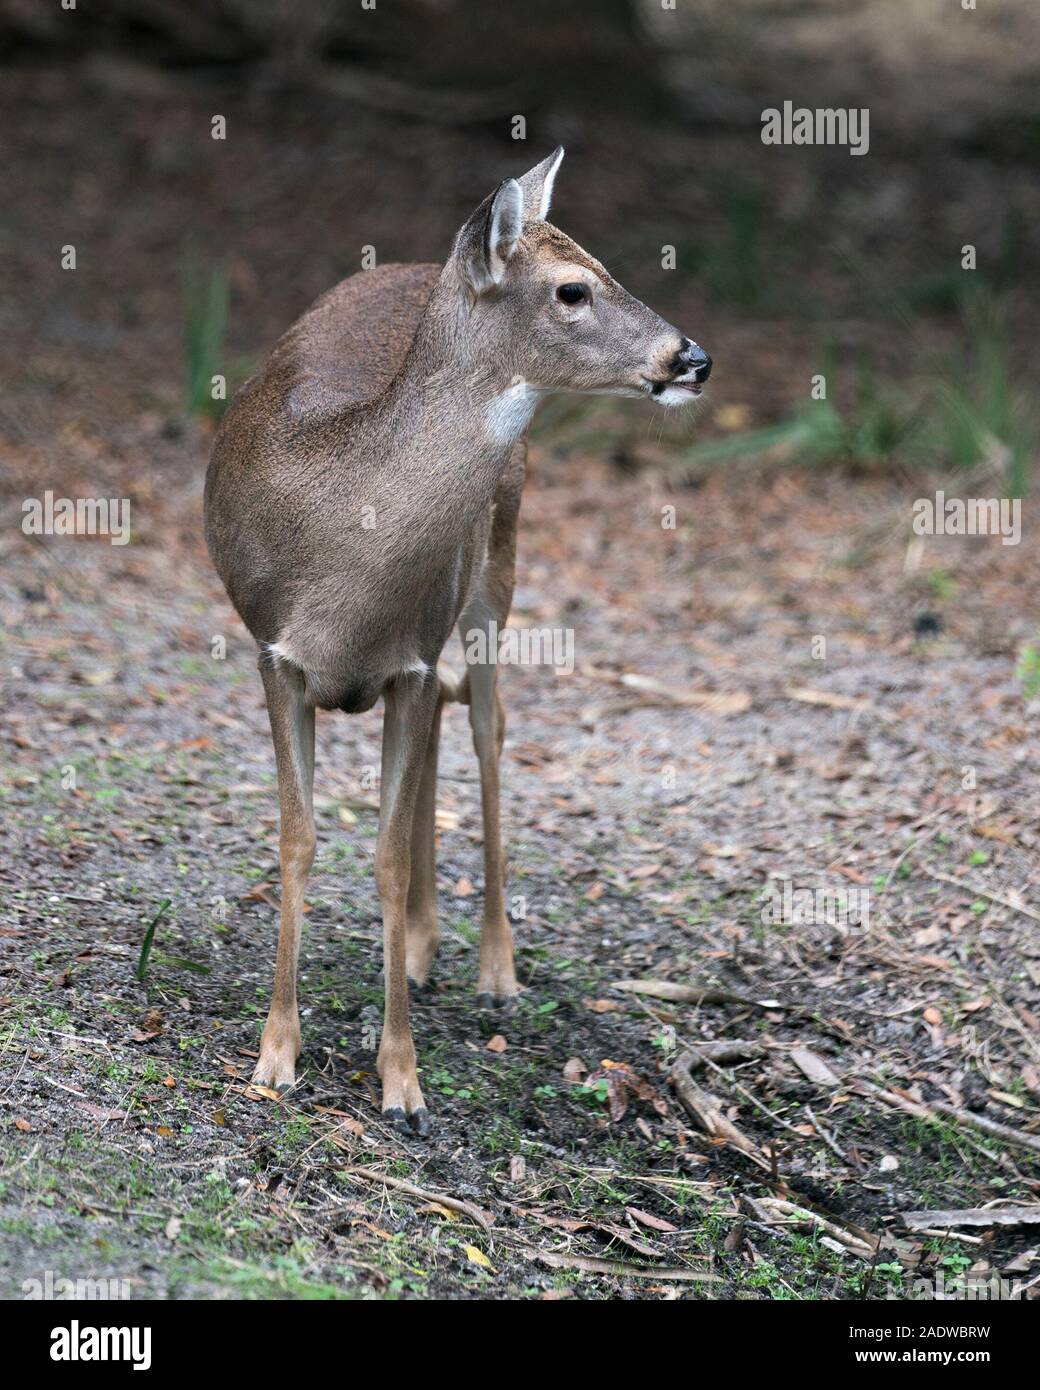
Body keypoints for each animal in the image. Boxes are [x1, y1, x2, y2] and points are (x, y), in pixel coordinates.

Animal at [202, 149, 706, 1128]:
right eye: (573, 288)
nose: (691, 357)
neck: (348, 573)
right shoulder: (277, 656)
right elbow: (299, 841)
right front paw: (275, 1055)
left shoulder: (404, 659)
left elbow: (389, 857)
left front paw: (401, 1080)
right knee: (450, 718)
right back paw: (425, 949)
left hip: (493, 574)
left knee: (486, 723)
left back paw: (490, 964)